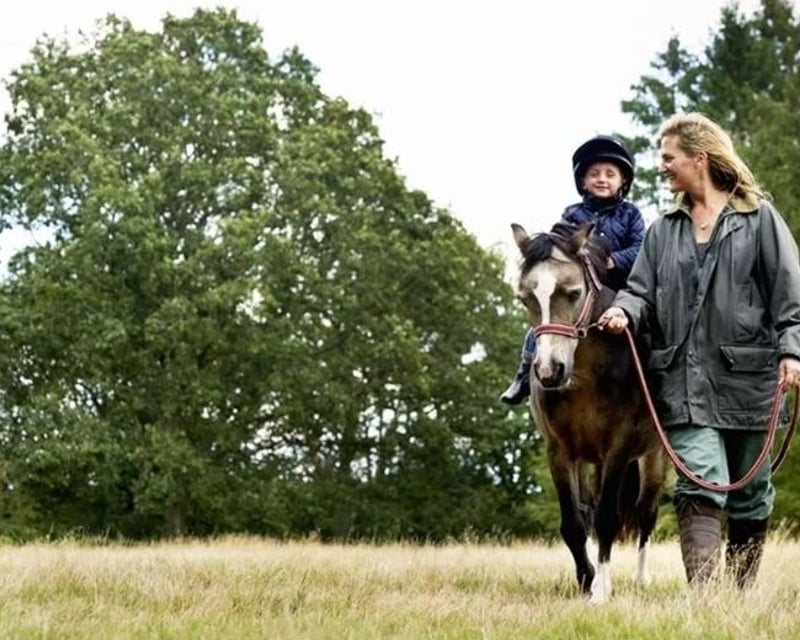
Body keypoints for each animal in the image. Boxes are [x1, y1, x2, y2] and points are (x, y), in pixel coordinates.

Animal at [511, 220, 666, 604]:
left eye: (573, 292)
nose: (549, 371)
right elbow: (574, 523)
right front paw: (587, 579)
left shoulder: (618, 449)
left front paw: (601, 591)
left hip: (654, 456)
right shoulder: (560, 452)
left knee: (646, 512)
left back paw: (641, 578)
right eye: (525, 299)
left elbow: (608, 518)